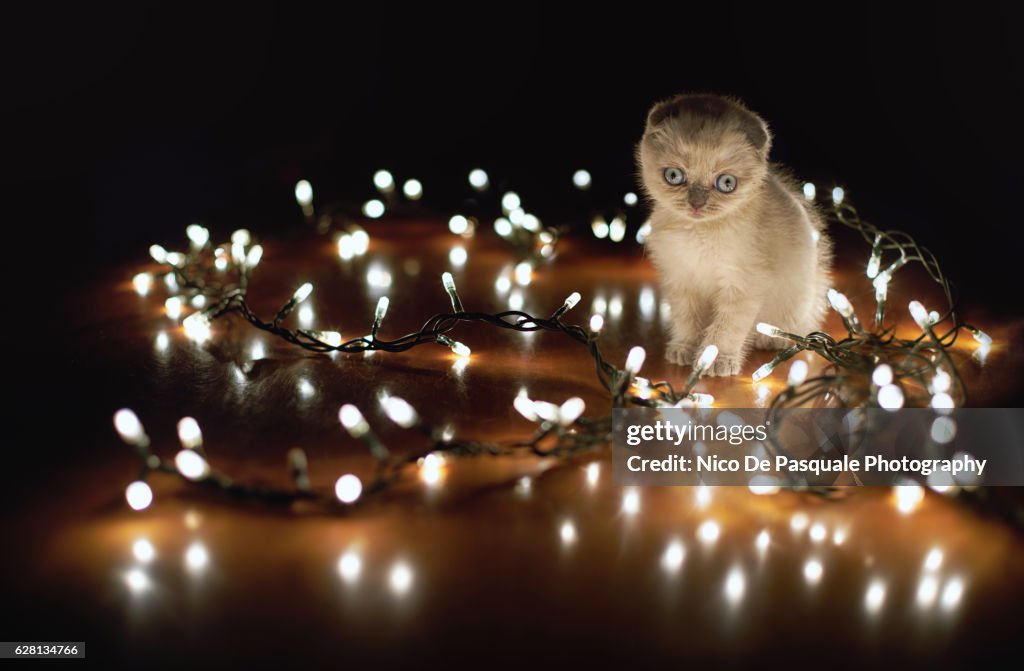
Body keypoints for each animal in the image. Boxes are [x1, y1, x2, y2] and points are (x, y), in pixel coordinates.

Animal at [638, 94, 831, 376]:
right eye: (674, 176)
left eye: (726, 183)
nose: (696, 203)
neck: (699, 234)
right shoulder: (682, 281)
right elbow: (687, 320)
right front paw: (684, 348)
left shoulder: (743, 284)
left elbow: (727, 327)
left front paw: (714, 360)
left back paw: (771, 339)